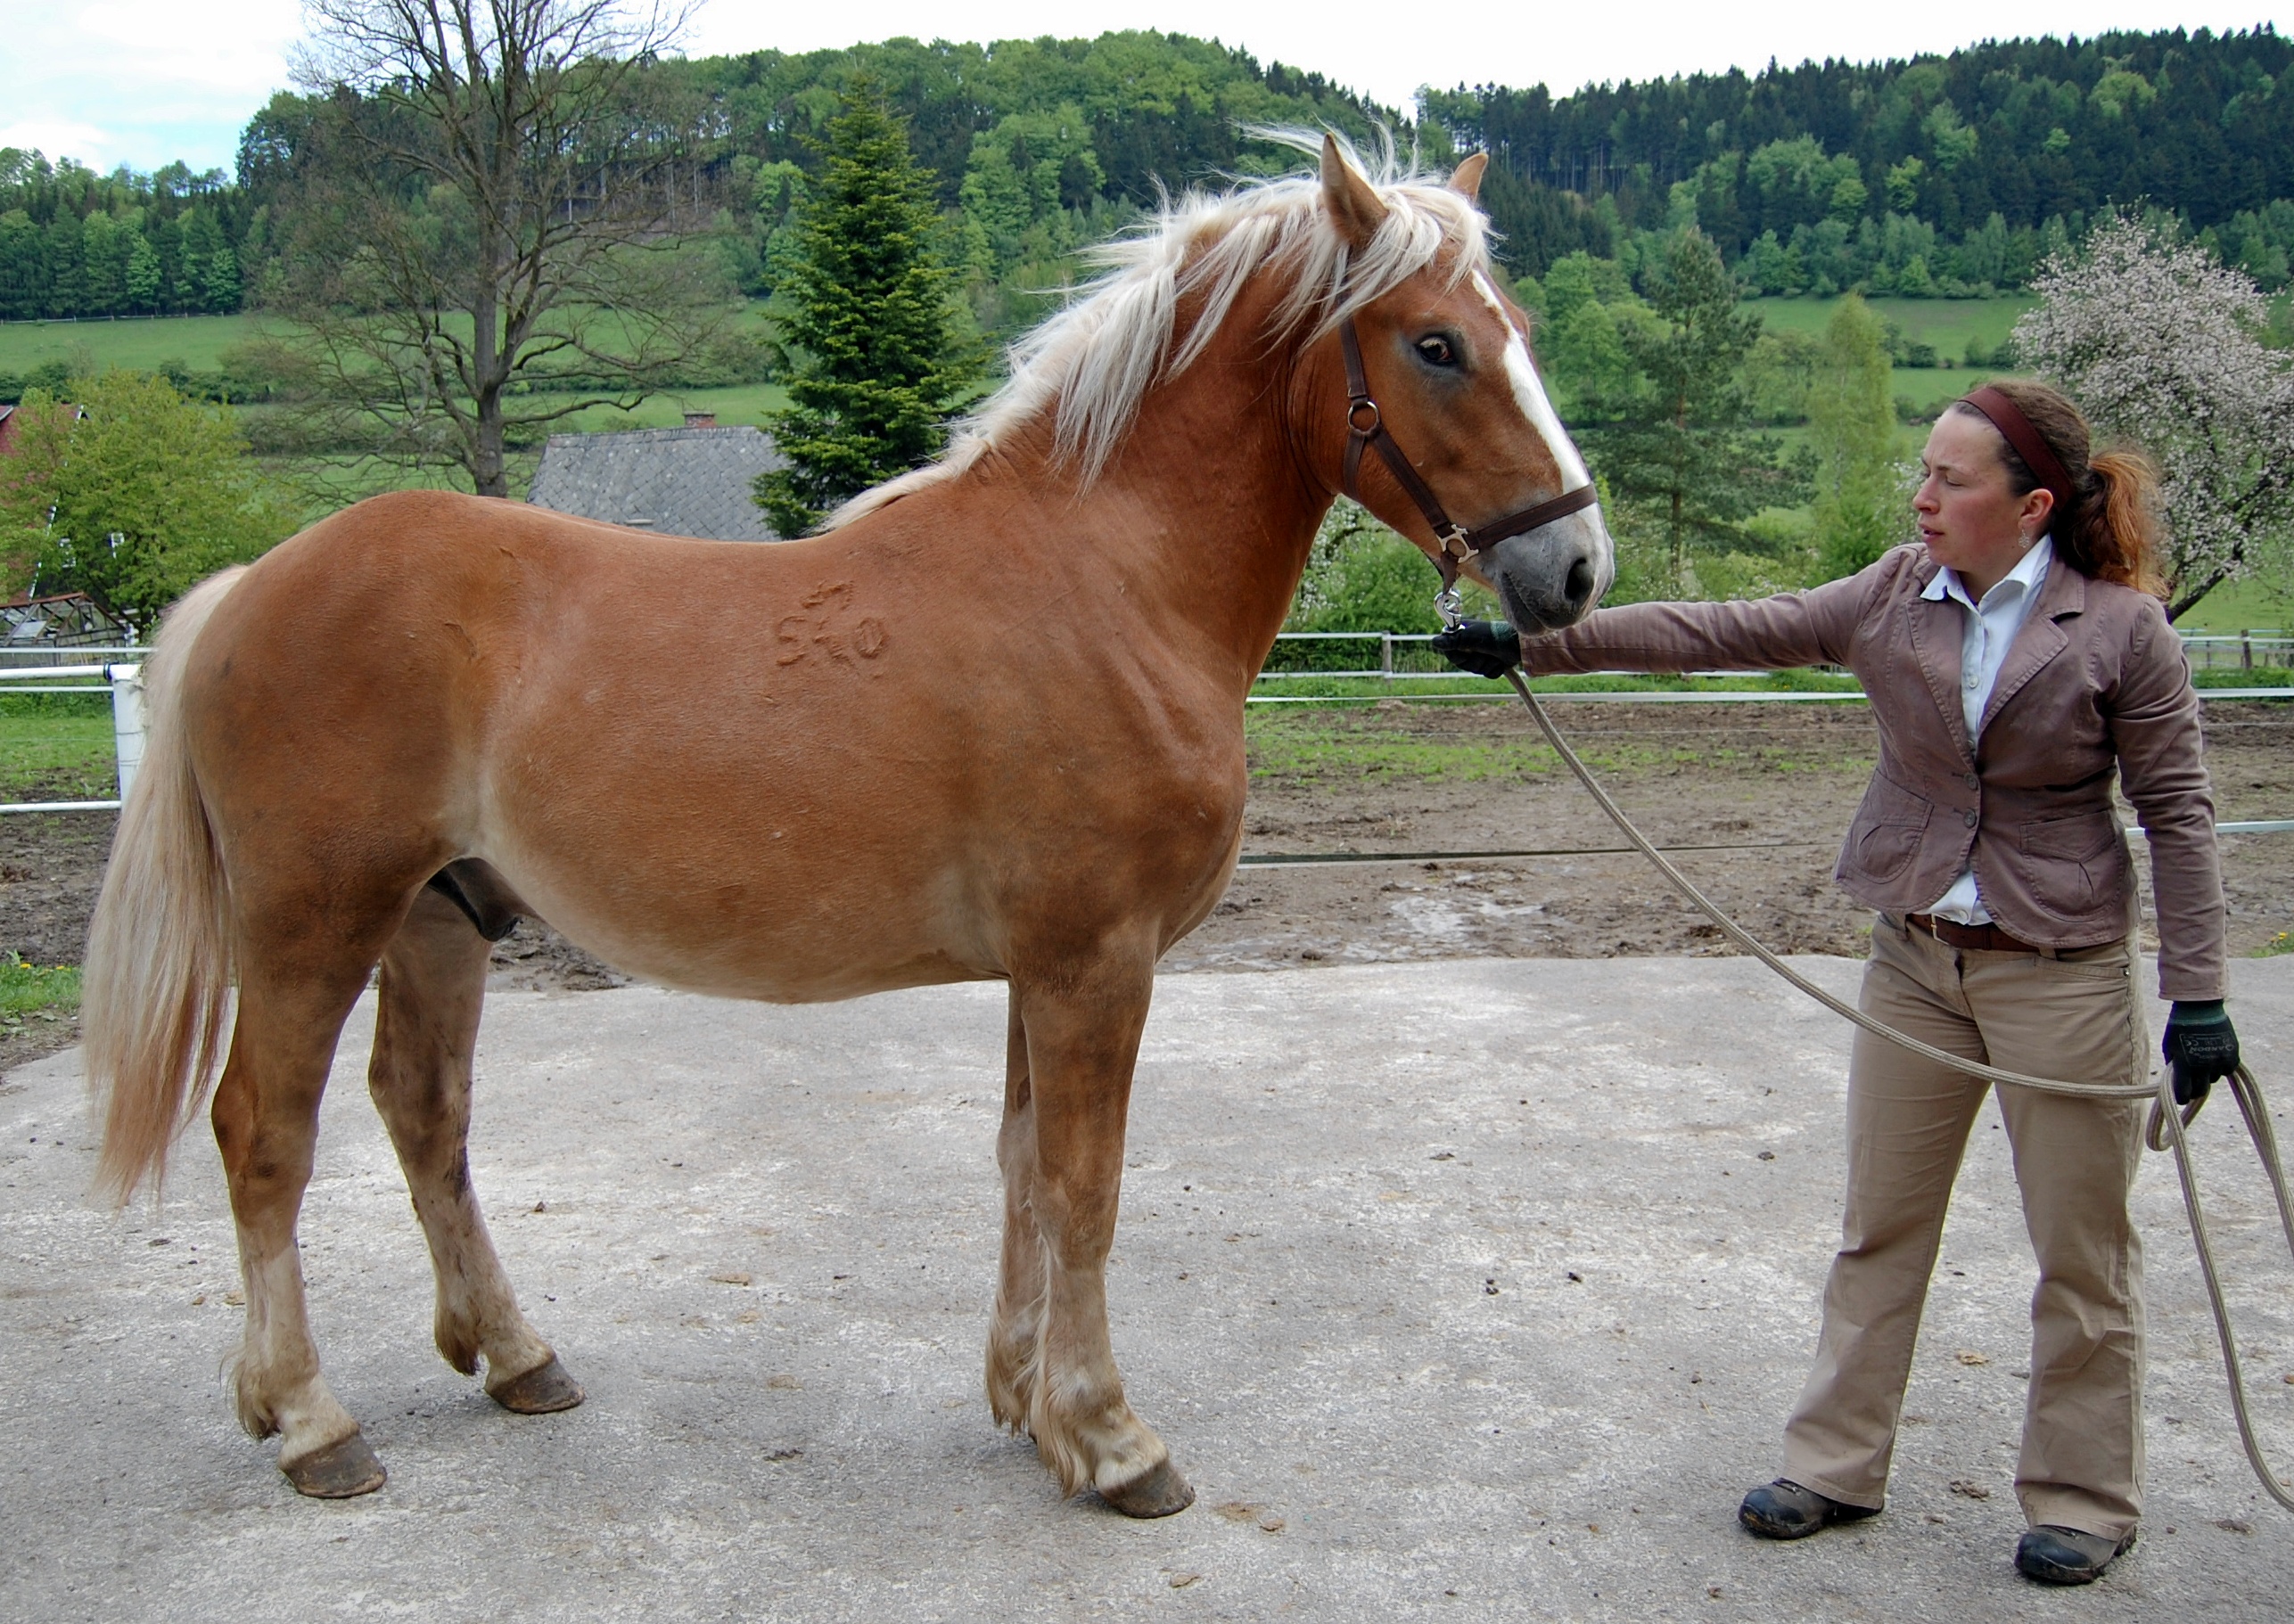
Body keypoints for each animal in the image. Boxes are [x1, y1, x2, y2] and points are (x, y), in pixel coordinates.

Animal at [85, 133, 1615, 1513]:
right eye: (1435, 344)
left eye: (1520, 332)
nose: (1576, 566)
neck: (1104, 583)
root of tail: (253, 583)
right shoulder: (1097, 960)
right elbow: (1085, 1186)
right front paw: (1111, 1438)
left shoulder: (1045, 967)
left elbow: (1021, 1169)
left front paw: (1027, 1403)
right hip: (312, 922)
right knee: (264, 1135)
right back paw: (309, 1420)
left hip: (437, 919)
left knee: (424, 1114)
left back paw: (514, 1355)